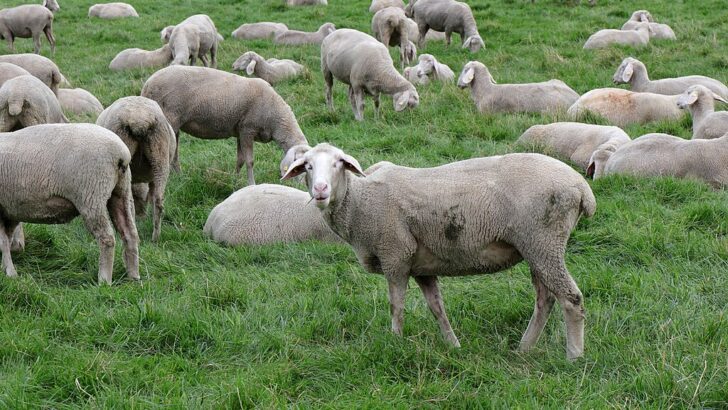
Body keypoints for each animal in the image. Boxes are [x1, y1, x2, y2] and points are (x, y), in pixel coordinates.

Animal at [0, 123, 139, 285]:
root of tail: (121, 153)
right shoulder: (9, 210)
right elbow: (7, 239)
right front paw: (6, 267)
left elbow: (3, 242)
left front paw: (10, 273)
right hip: (121, 192)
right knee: (129, 233)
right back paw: (134, 277)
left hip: (92, 195)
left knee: (107, 238)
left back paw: (104, 281)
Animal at [96, 97, 175, 242]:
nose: (141, 216)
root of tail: (139, 121)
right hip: (160, 156)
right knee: (158, 200)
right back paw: (155, 237)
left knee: (130, 203)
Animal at [141, 65, 309, 186]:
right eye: (299, 167)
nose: (302, 187)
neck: (275, 118)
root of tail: (147, 85)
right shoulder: (248, 129)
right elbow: (250, 161)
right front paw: (252, 184)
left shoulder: (240, 131)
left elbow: (240, 160)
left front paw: (235, 181)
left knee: (173, 154)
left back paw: (179, 177)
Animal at [282, 143, 595, 360]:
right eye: (308, 166)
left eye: (339, 163)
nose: (320, 190)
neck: (359, 201)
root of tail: (582, 188)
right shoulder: (421, 266)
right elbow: (437, 308)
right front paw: (454, 346)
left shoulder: (395, 254)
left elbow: (396, 306)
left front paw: (396, 343)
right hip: (537, 247)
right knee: (546, 299)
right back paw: (524, 348)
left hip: (543, 241)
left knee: (571, 299)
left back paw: (574, 357)